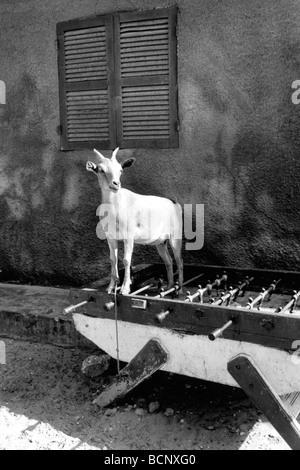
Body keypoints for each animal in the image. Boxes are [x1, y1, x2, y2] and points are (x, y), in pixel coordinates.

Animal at [86, 147, 183, 294]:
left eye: (120, 170)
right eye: (101, 170)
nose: (116, 184)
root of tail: (175, 204)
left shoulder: (129, 236)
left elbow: (127, 260)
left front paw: (125, 289)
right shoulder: (111, 237)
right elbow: (113, 259)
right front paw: (110, 288)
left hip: (175, 237)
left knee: (179, 261)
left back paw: (180, 289)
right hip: (160, 242)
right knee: (169, 260)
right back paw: (169, 285)